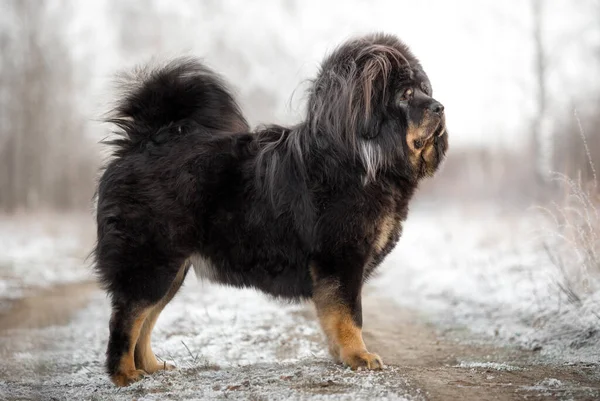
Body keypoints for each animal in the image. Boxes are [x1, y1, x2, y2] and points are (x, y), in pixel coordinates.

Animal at [95, 33, 446, 384]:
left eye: (425, 90)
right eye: (406, 95)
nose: (440, 106)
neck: (360, 161)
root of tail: (144, 141)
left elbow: (333, 317)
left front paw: (340, 357)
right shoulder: (340, 259)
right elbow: (349, 316)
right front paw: (358, 357)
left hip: (172, 268)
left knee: (145, 320)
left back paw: (151, 367)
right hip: (152, 262)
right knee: (126, 320)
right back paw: (125, 374)